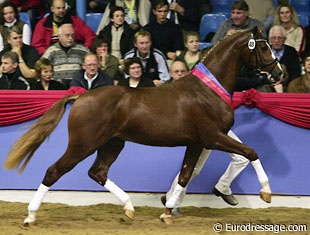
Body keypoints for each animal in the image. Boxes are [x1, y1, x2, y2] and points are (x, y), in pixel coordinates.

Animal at [3, 26, 282, 225]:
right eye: (263, 47)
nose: (279, 74)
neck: (208, 90)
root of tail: (80, 96)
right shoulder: (213, 137)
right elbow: (251, 152)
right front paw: (266, 193)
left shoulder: (197, 143)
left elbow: (185, 175)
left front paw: (167, 211)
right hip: (83, 144)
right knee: (54, 171)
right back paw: (30, 216)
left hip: (112, 143)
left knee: (98, 172)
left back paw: (129, 208)